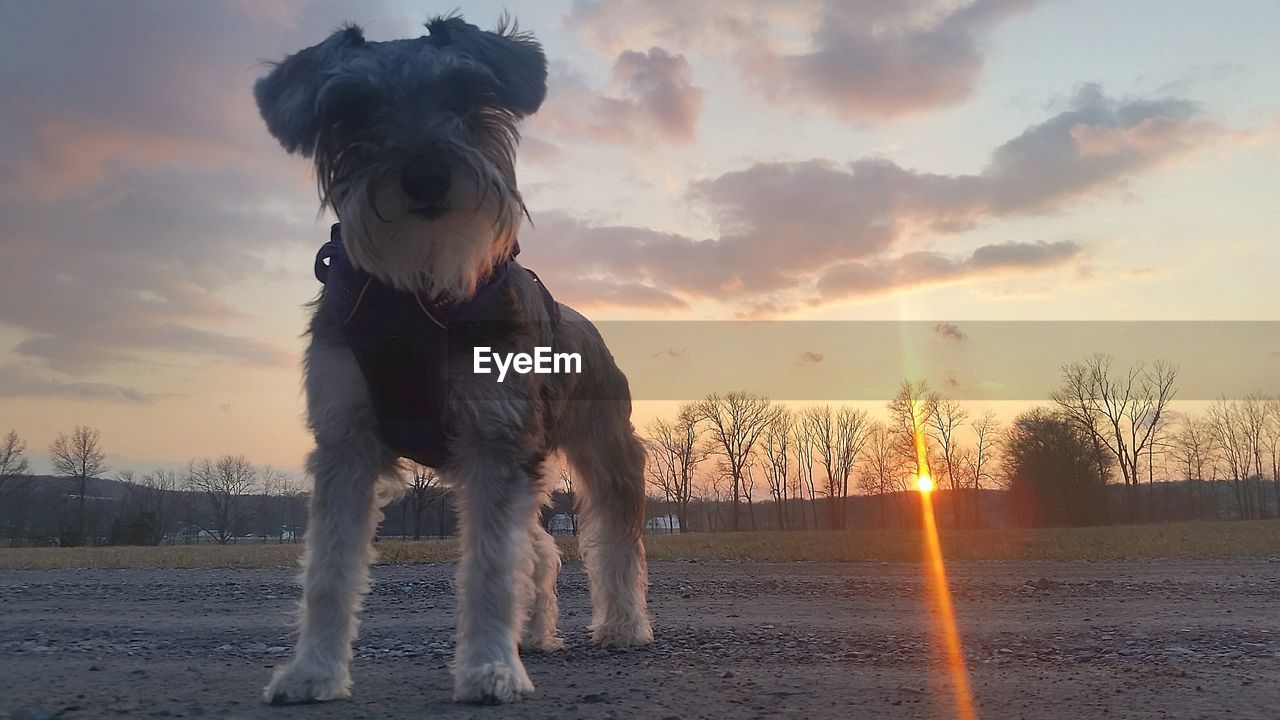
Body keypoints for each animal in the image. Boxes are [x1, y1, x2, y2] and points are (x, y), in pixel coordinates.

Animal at [252, 15, 650, 702]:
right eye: (353, 108)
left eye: (465, 96)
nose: (426, 176)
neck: (416, 293)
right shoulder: (346, 441)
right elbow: (328, 567)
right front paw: (312, 672)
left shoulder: (495, 439)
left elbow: (491, 566)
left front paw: (491, 669)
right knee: (540, 550)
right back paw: (534, 634)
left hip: (606, 455)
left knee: (613, 540)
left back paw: (622, 626)